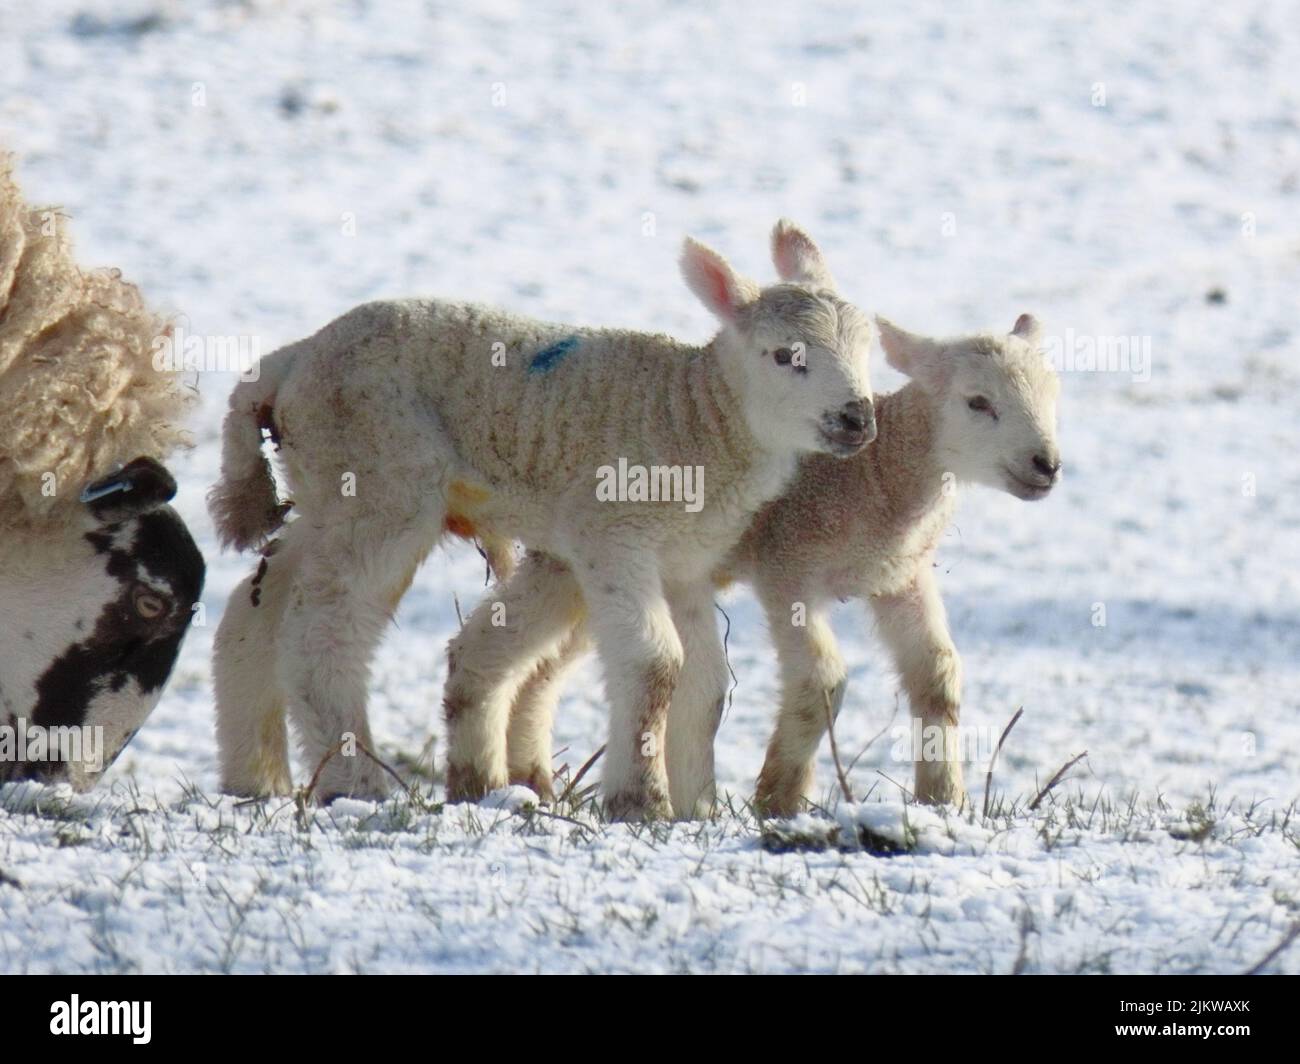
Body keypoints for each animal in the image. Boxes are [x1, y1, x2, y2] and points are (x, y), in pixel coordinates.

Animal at [209, 220, 876, 819]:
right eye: (785, 355)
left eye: (867, 348)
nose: (857, 418)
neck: (695, 417)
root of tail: (294, 358)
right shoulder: (613, 535)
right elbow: (656, 662)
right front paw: (641, 803)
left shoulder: (686, 562)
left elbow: (706, 684)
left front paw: (698, 807)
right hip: (378, 476)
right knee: (326, 626)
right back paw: (355, 782)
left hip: (323, 486)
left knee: (260, 602)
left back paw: (256, 775)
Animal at [471, 313, 1061, 815]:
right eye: (978, 401)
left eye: (1054, 397)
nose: (1047, 465)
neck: (878, 475)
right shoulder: (789, 566)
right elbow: (822, 681)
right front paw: (778, 798)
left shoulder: (900, 576)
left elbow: (936, 674)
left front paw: (943, 799)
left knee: (539, 668)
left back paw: (527, 777)